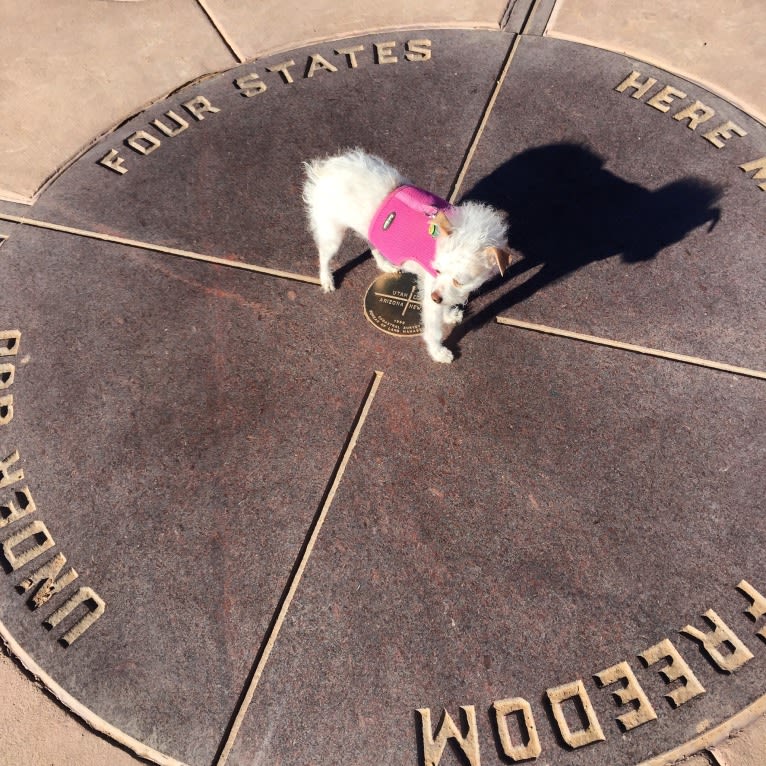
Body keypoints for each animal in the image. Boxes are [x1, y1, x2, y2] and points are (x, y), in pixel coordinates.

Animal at [304, 152, 512, 366]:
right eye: (437, 270)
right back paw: (326, 279)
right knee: (324, 255)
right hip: (333, 234)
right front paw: (438, 352)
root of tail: (326, 169)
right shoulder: (431, 291)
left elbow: (445, 301)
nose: (434, 297)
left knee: (373, 244)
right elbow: (433, 330)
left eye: (458, 281)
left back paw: (385, 264)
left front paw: (448, 314)